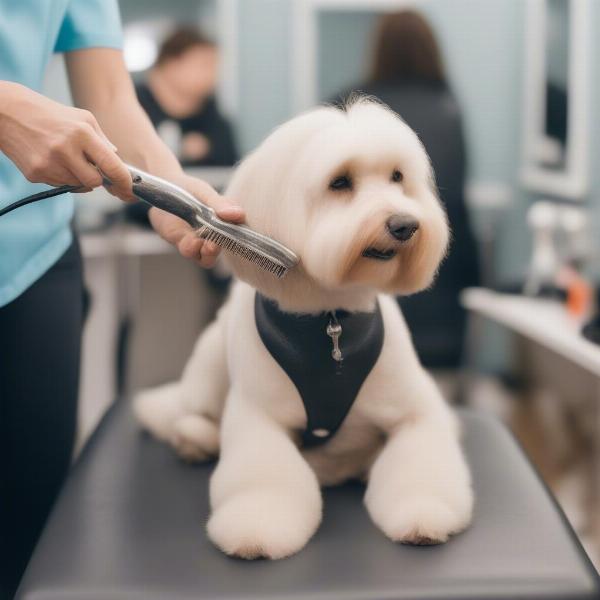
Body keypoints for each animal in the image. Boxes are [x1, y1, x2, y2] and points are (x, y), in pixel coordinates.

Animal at [135, 96, 474, 560]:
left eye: (398, 177)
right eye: (340, 182)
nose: (405, 224)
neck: (331, 320)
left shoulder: (416, 411)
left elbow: (422, 460)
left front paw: (423, 514)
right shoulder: (259, 415)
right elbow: (264, 475)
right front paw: (256, 530)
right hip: (208, 365)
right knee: (191, 413)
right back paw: (194, 440)